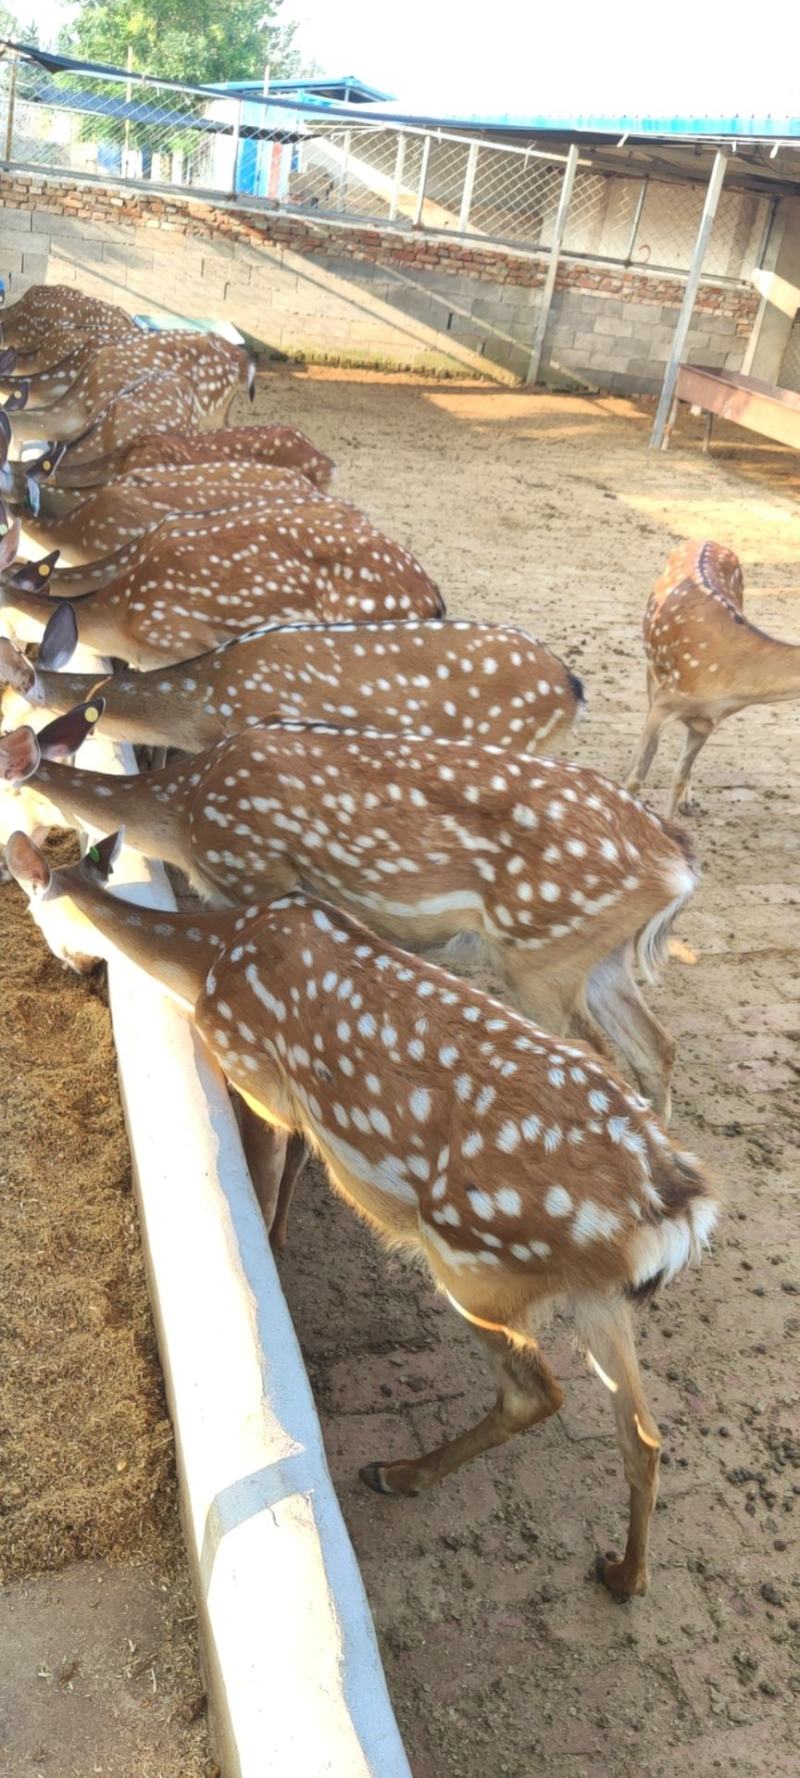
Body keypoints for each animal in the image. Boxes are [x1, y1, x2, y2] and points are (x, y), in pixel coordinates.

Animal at [0, 705, 695, 1118]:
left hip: (543, 956)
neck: (182, 814)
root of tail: (678, 865)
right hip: (600, 957)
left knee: (597, 1053)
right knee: (656, 1047)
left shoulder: (255, 876)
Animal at [5, 823, 720, 1599]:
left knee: (537, 1393)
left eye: (33, 909)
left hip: (478, 1269)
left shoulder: (256, 1073)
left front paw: (267, 1256)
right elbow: (296, 1163)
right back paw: (625, 1573)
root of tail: (673, 1212)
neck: (210, 962)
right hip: (596, 1296)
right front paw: (280, 1243)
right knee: (644, 1433)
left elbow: (268, 1170)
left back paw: (397, 1473)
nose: (75, 970)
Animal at [627, 539, 800, 815]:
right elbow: (636, 779)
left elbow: (677, 779)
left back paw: (688, 802)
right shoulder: (665, 701)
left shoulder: (706, 722)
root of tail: (704, 540)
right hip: (652, 669)